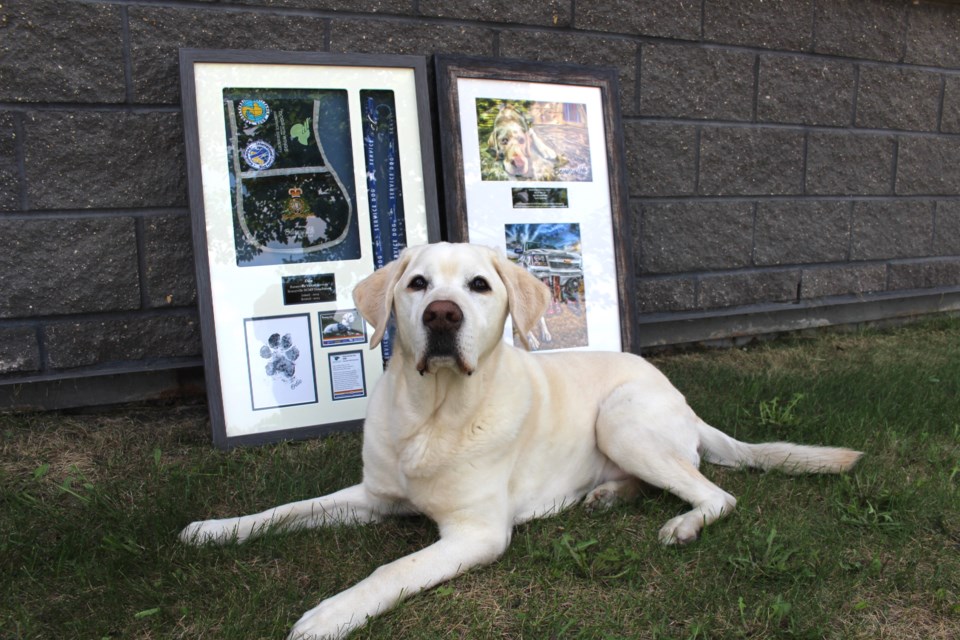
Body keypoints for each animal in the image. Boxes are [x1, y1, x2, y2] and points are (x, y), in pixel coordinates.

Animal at [180, 242, 864, 636]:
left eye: (479, 286)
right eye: (418, 284)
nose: (443, 315)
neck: (434, 414)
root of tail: (683, 401)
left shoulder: (476, 534)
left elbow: (389, 569)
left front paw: (330, 614)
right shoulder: (373, 497)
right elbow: (285, 510)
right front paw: (214, 529)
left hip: (620, 417)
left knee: (716, 495)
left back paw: (683, 524)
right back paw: (606, 497)